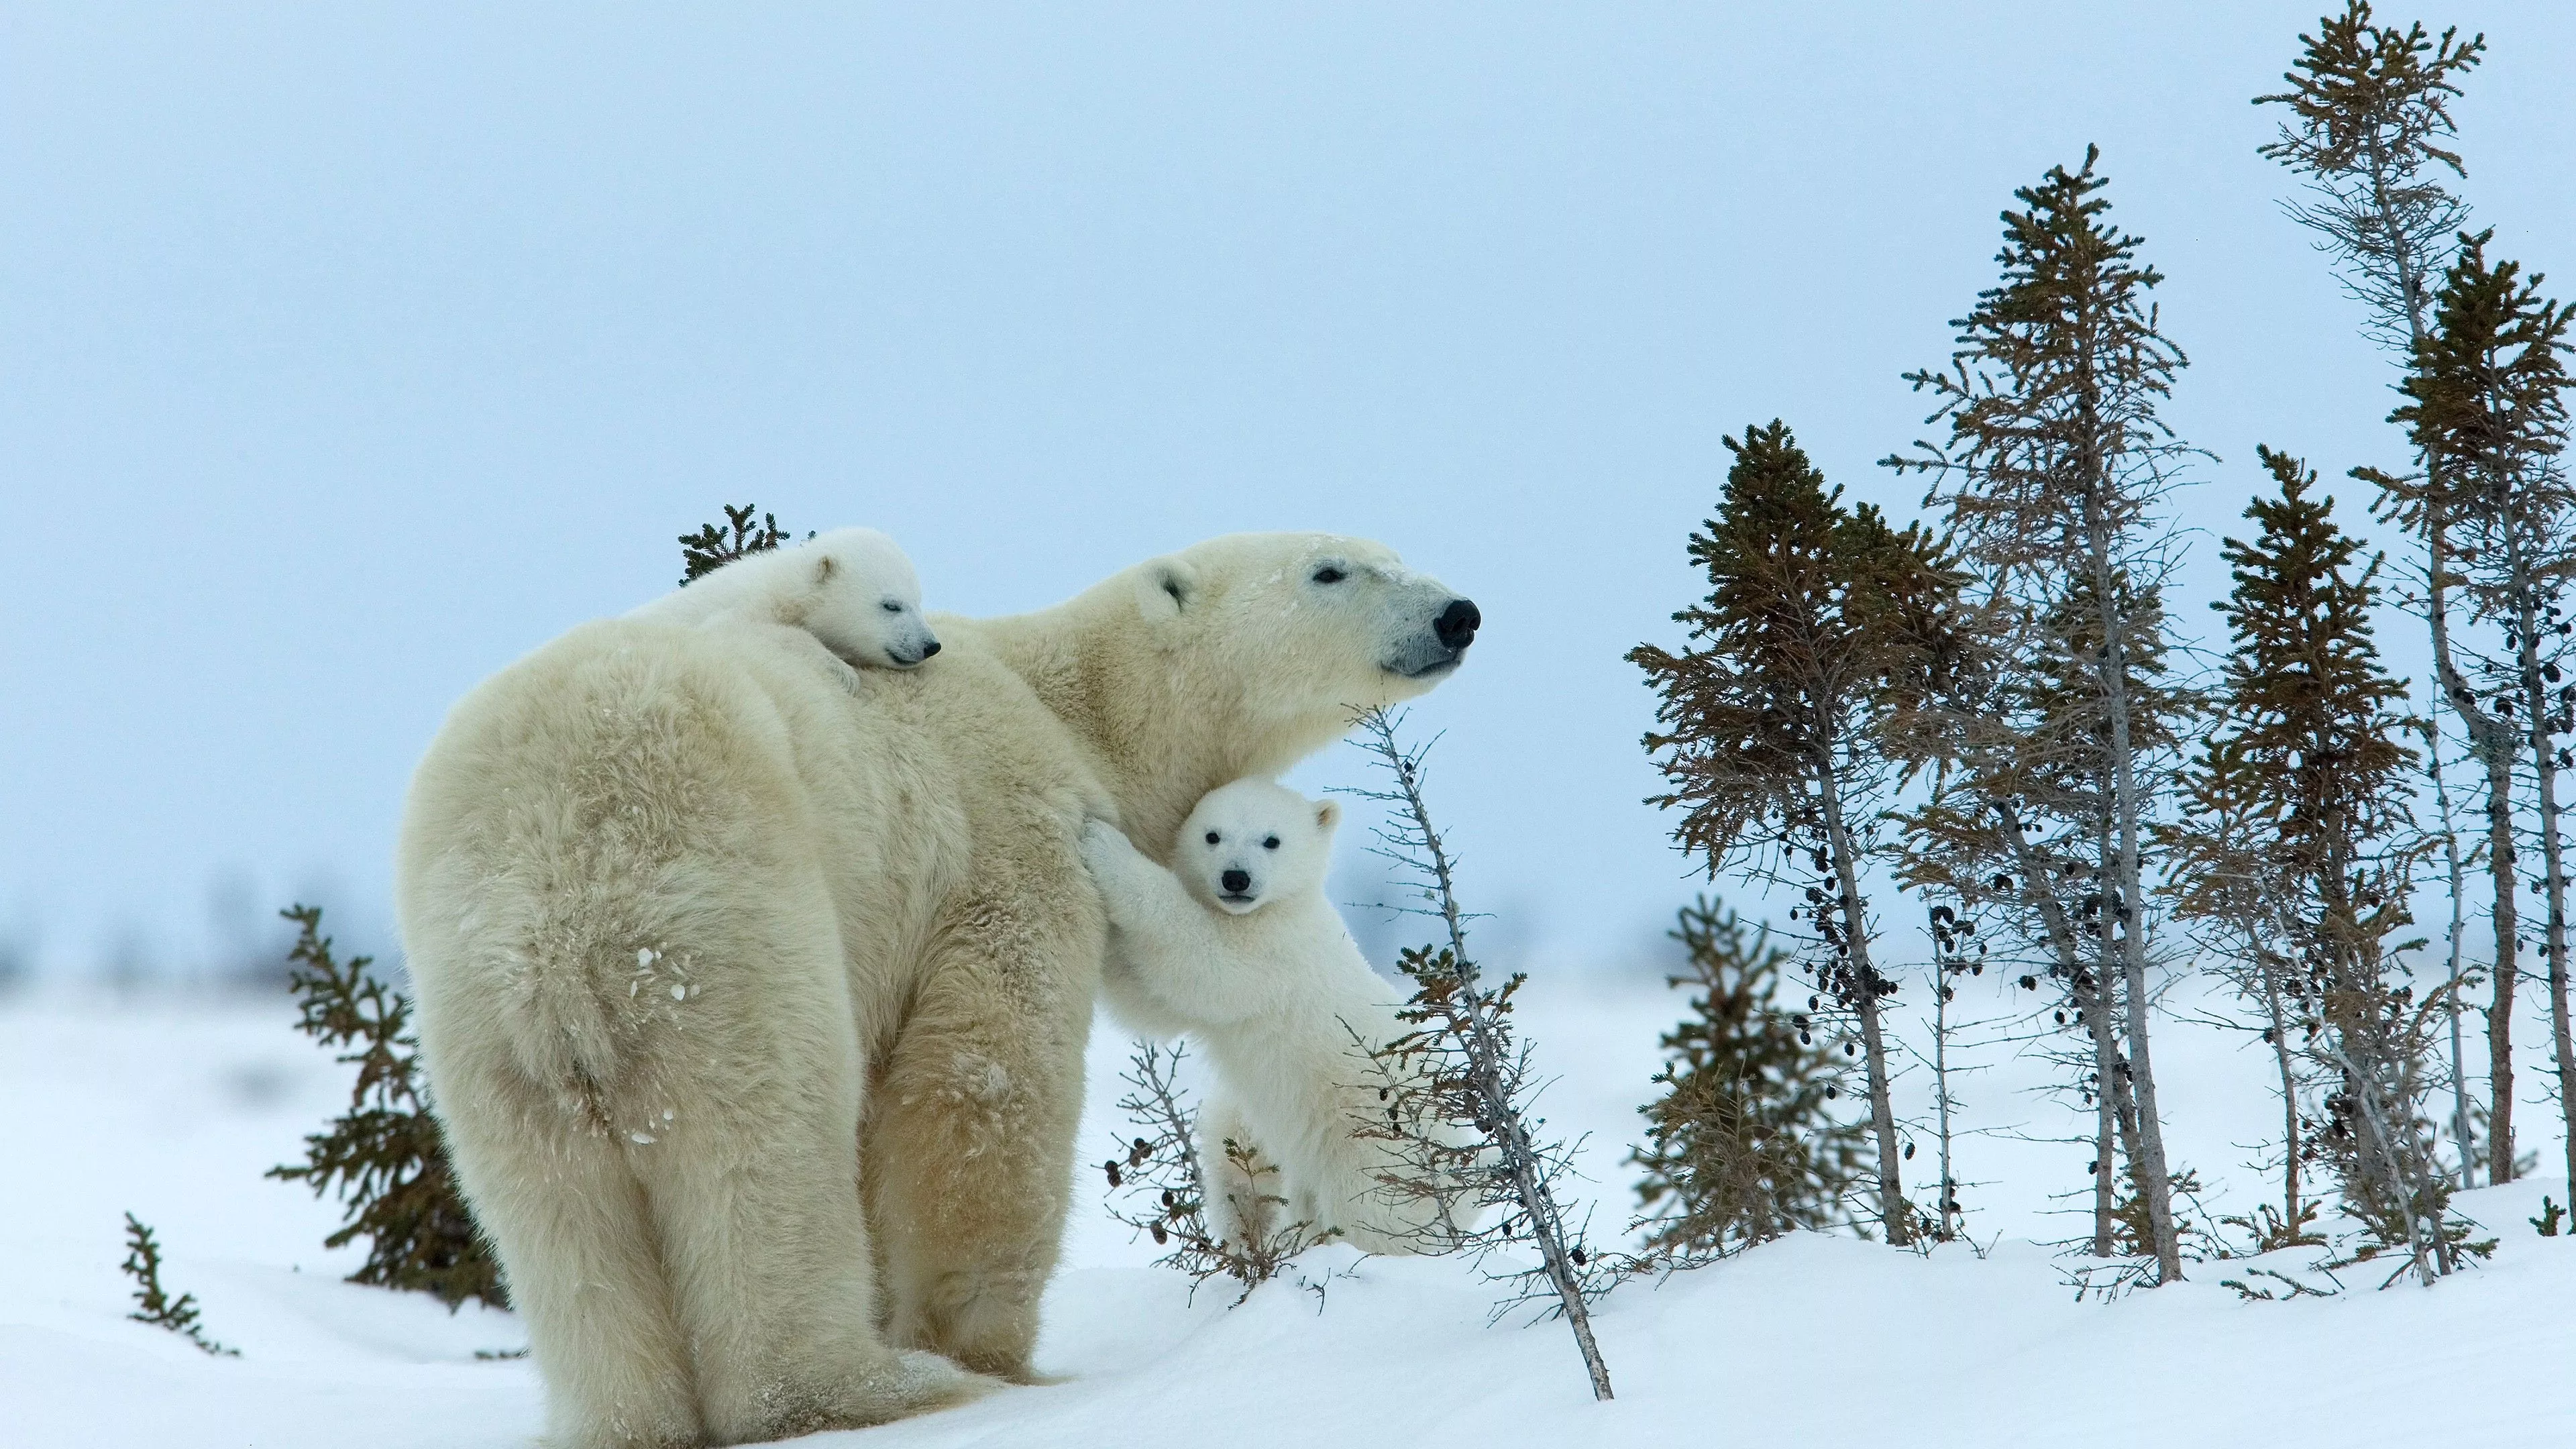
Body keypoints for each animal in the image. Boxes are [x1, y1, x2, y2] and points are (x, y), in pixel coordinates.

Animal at [626, 526, 942, 671]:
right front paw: (842, 671)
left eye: (919, 601)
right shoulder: (741, 609)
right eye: (891, 605)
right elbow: (742, 630)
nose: (931, 646)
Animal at [1080, 778, 1474, 1256]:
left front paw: (1102, 842)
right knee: (1235, 1157)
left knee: (1370, 1214)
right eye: (1212, 835)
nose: (1236, 878)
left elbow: (1204, 957)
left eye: (1272, 840)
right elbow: (1149, 1002)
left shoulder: (1277, 953)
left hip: (1375, 1148)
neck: (1280, 907)